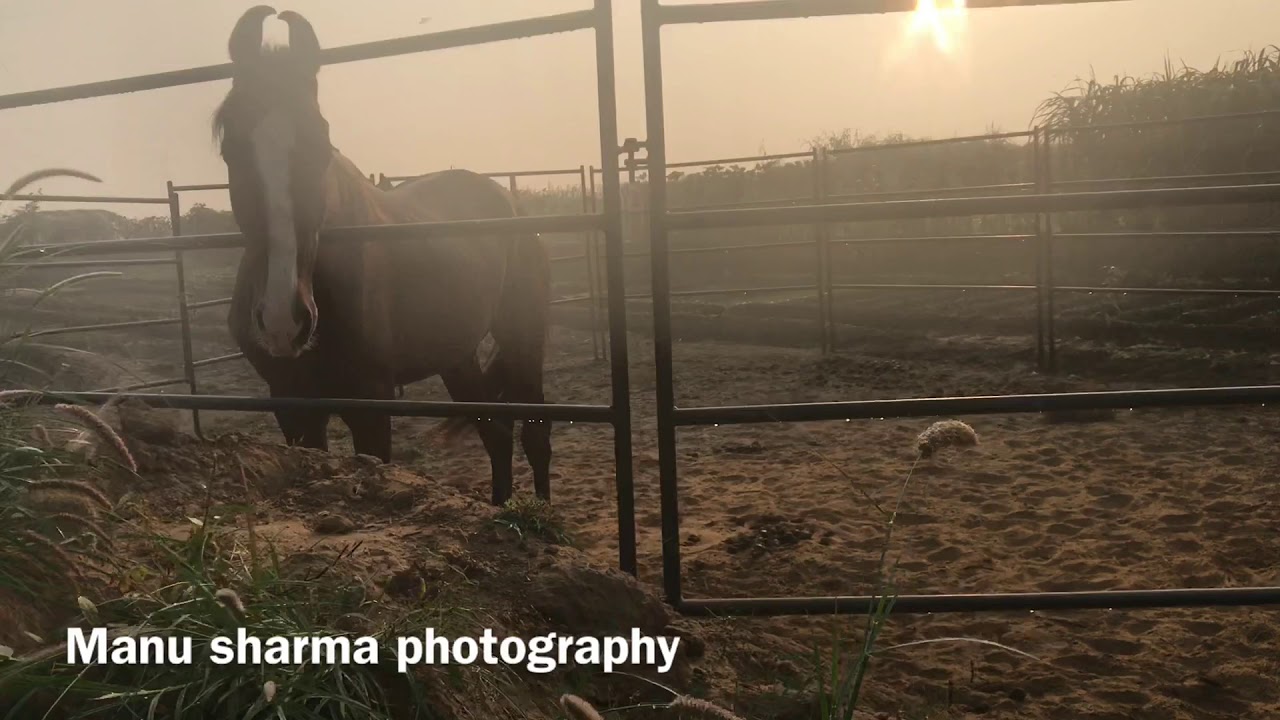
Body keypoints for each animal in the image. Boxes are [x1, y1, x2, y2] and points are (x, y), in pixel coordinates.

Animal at [212, 6, 553, 506]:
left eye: (320, 140)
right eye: (229, 146)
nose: (282, 320)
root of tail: (508, 202)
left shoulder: (370, 405)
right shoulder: (293, 406)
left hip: (523, 336)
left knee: (535, 435)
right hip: (456, 353)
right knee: (496, 432)